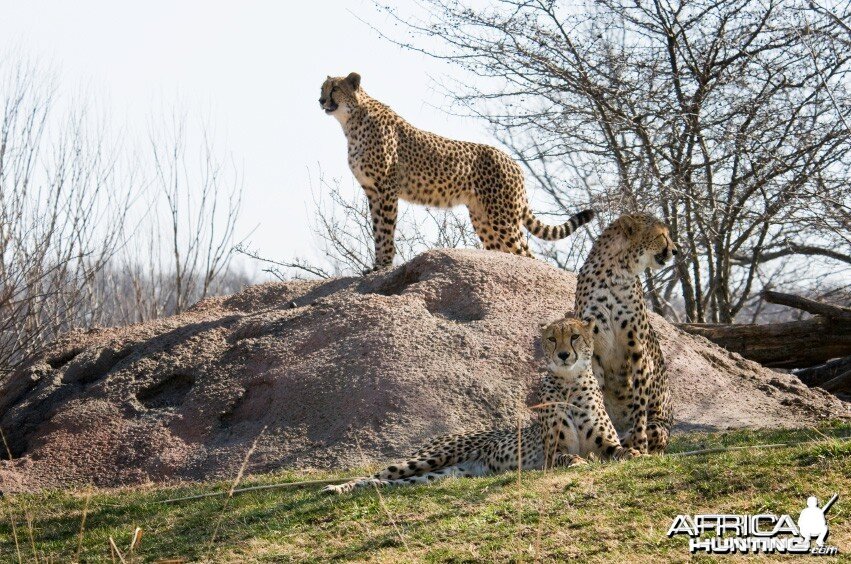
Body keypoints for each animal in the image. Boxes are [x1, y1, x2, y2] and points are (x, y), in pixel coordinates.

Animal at [318, 71, 592, 270]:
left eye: (334, 88)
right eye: (322, 88)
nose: (320, 100)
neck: (351, 121)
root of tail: (513, 161)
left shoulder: (386, 189)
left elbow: (386, 231)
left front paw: (384, 266)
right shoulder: (372, 191)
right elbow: (377, 230)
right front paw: (375, 266)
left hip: (502, 216)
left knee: (526, 252)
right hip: (483, 218)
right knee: (505, 250)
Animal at [324, 316, 640, 492]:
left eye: (574, 336)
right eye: (552, 338)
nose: (563, 354)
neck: (569, 382)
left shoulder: (605, 443)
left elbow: (619, 450)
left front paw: (634, 453)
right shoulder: (551, 453)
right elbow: (565, 457)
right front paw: (577, 461)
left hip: (442, 474)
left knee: (393, 482)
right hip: (430, 458)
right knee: (377, 473)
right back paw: (337, 487)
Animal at [572, 214, 680, 456]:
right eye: (662, 235)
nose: (676, 250)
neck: (616, 271)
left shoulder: (638, 351)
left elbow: (639, 405)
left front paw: (639, 446)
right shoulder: (594, 353)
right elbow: (598, 399)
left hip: (659, 427)